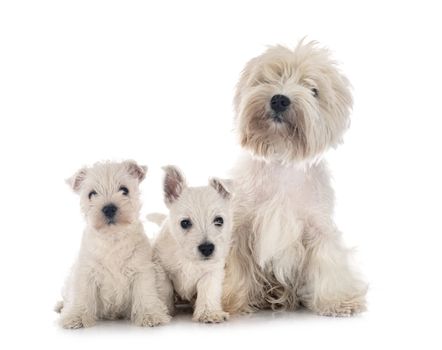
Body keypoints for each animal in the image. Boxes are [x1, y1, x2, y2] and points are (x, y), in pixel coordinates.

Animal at [54, 161, 171, 328]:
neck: (112, 239)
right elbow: (82, 295)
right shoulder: (86, 272)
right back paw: (61, 306)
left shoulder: (141, 270)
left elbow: (145, 293)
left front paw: (150, 315)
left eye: (124, 190)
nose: (109, 208)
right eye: (92, 194)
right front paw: (76, 317)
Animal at [154, 165, 233, 324]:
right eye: (185, 223)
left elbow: (208, 290)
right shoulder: (161, 269)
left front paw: (209, 313)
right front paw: (165, 311)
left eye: (219, 220)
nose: (207, 248)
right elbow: (165, 290)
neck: (188, 258)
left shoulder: (211, 272)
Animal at [223, 39, 368, 316]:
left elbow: (329, 264)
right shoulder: (240, 226)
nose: (279, 99)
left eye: (313, 90)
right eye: (268, 78)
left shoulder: (318, 228)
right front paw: (227, 301)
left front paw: (338, 301)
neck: (282, 159)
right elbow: (232, 267)